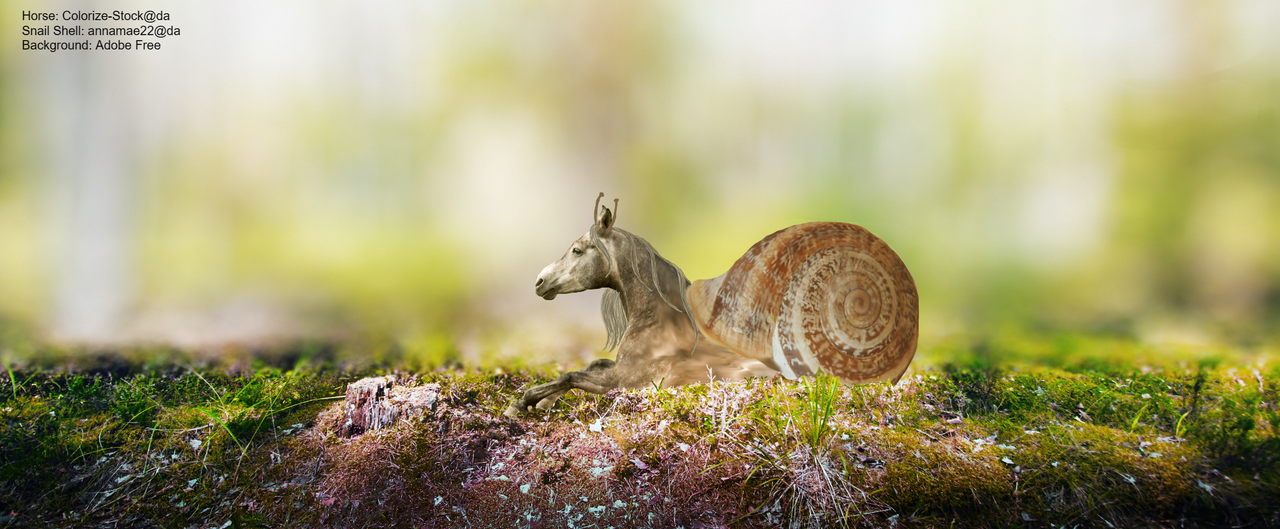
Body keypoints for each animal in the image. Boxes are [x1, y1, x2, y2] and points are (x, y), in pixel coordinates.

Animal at [504, 194, 777, 417]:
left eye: (577, 250)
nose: (540, 281)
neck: (656, 325)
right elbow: (592, 364)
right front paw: (542, 403)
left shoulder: (620, 379)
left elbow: (570, 375)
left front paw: (520, 404)